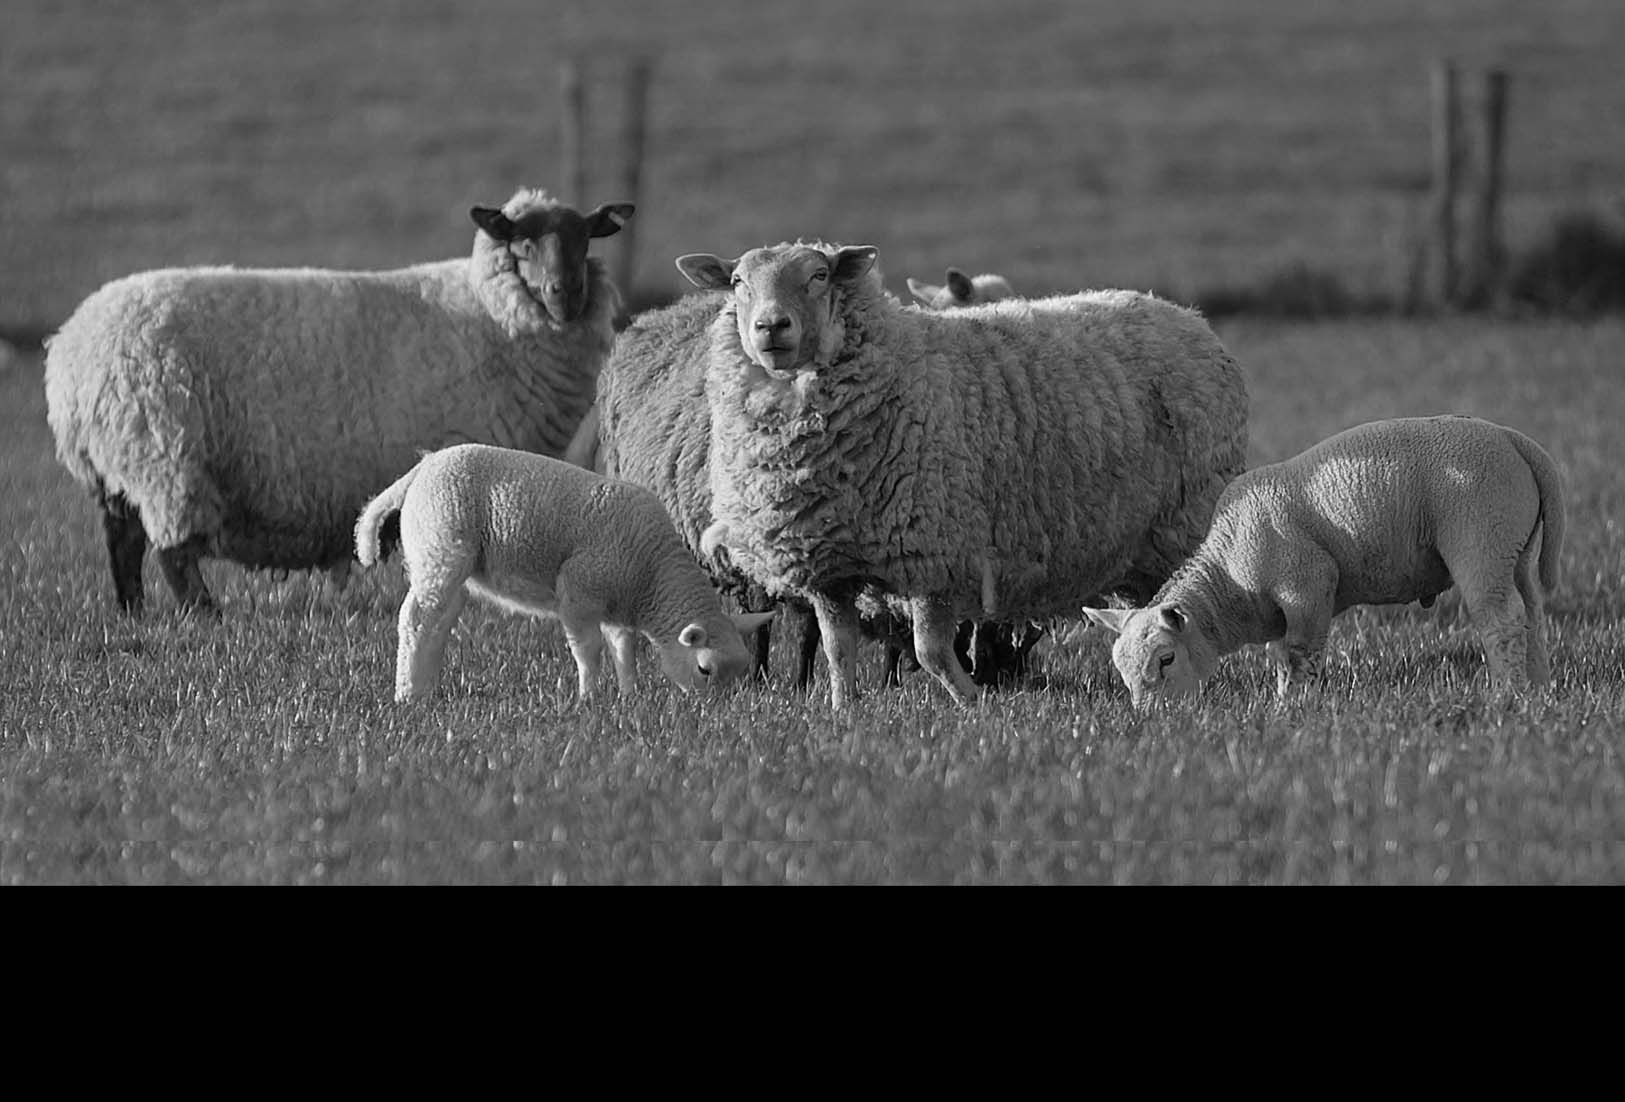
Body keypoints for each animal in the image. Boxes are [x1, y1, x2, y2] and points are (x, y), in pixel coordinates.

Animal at [44, 187, 633, 616]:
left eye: (585, 240)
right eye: (522, 243)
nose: (566, 293)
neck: (490, 313)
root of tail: (74, 346)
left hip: (117, 470)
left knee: (122, 542)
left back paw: (133, 613)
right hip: (166, 459)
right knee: (172, 553)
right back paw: (205, 617)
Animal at [353, 443, 774, 703]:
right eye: (705, 669)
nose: (713, 709)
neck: (652, 573)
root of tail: (422, 468)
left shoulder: (617, 603)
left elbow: (623, 648)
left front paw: (629, 694)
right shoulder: (580, 591)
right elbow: (588, 649)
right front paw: (589, 697)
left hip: (443, 554)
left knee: (438, 622)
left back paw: (425, 688)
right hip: (441, 543)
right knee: (417, 618)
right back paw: (407, 694)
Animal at [682, 240, 1249, 708]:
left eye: (819, 275)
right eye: (738, 281)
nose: (771, 327)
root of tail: (1180, 313)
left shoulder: (934, 551)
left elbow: (929, 651)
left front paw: (972, 701)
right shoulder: (828, 567)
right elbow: (838, 650)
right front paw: (843, 710)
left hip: (1189, 518)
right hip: (1142, 547)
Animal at [1082, 415, 1565, 707]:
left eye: (1165, 659)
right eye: (1121, 669)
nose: (1151, 719)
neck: (1230, 572)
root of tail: (1513, 440)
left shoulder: (1308, 585)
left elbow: (1302, 654)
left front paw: (1296, 708)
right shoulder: (1282, 610)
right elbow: (1280, 657)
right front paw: (1281, 701)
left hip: (1481, 537)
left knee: (1501, 619)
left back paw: (1506, 694)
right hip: (1514, 549)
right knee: (1532, 615)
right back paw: (1538, 689)